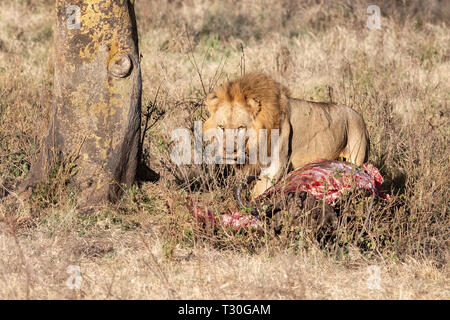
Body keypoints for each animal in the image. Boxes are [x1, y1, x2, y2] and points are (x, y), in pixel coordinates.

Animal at [204, 72, 370, 198]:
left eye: (240, 127)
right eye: (221, 127)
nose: (228, 151)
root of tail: (360, 116)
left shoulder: (275, 166)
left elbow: (257, 193)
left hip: (357, 156)